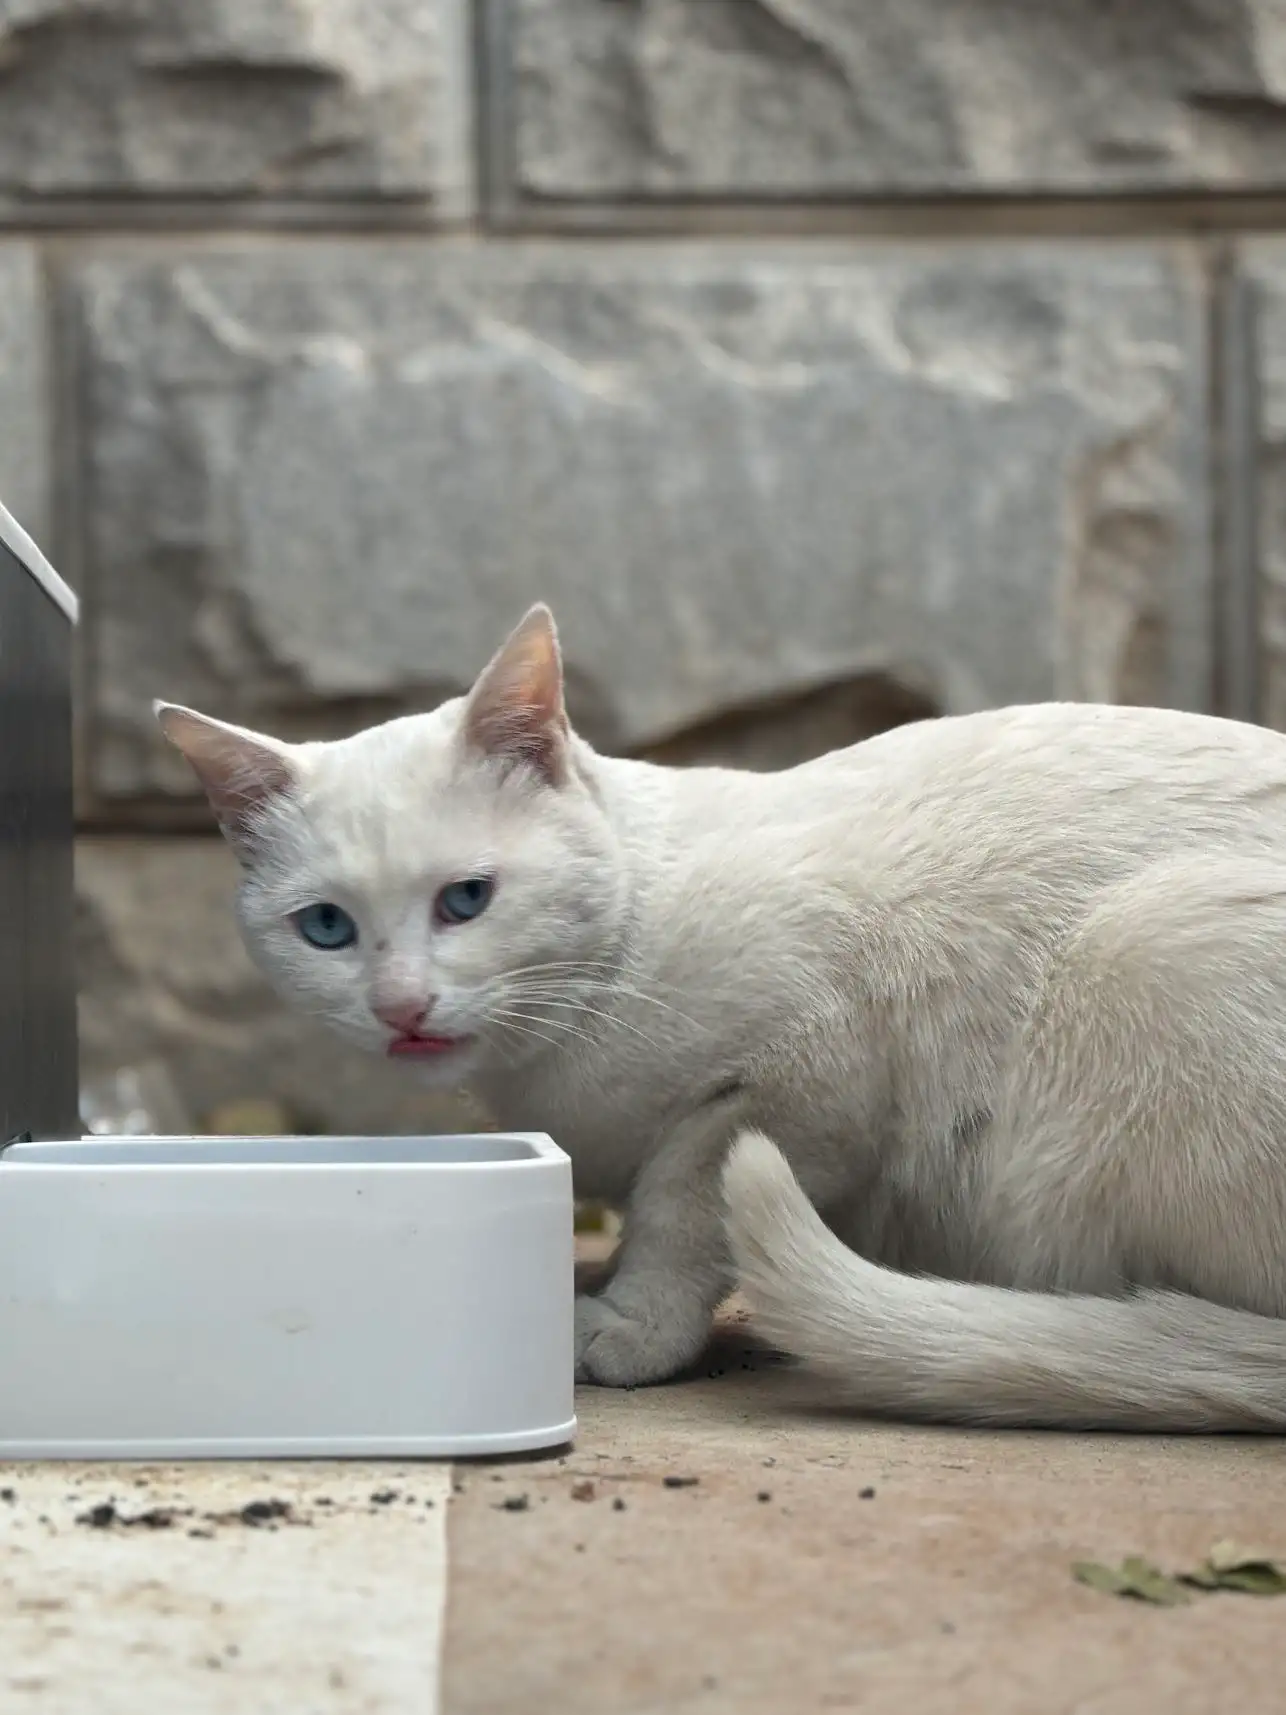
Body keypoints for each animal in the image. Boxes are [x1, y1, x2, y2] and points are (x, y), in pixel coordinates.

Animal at [158, 610, 1286, 1426]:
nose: (400, 1006)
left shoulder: (806, 1073)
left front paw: (627, 1324)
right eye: (326, 927)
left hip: (1149, 942)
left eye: (466, 899)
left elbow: (682, 1207)